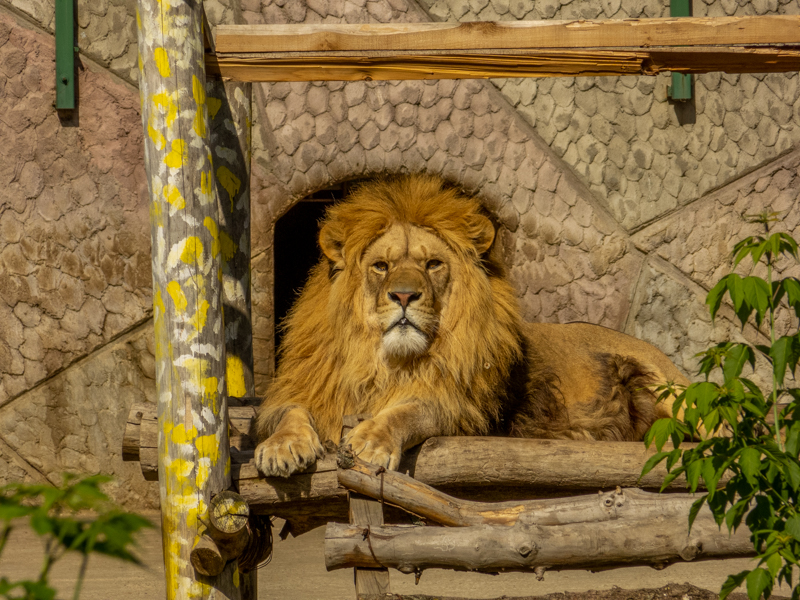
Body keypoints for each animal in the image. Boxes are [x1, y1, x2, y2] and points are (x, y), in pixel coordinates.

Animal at [254, 174, 689, 478]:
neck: (387, 361)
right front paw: (281, 448)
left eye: (432, 264)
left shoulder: (456, 407)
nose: (404, 296)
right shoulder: (309, 386)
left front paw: (371, 441)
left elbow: (407, 411)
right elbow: (290, 412)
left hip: (676, 394)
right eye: (381, 265)